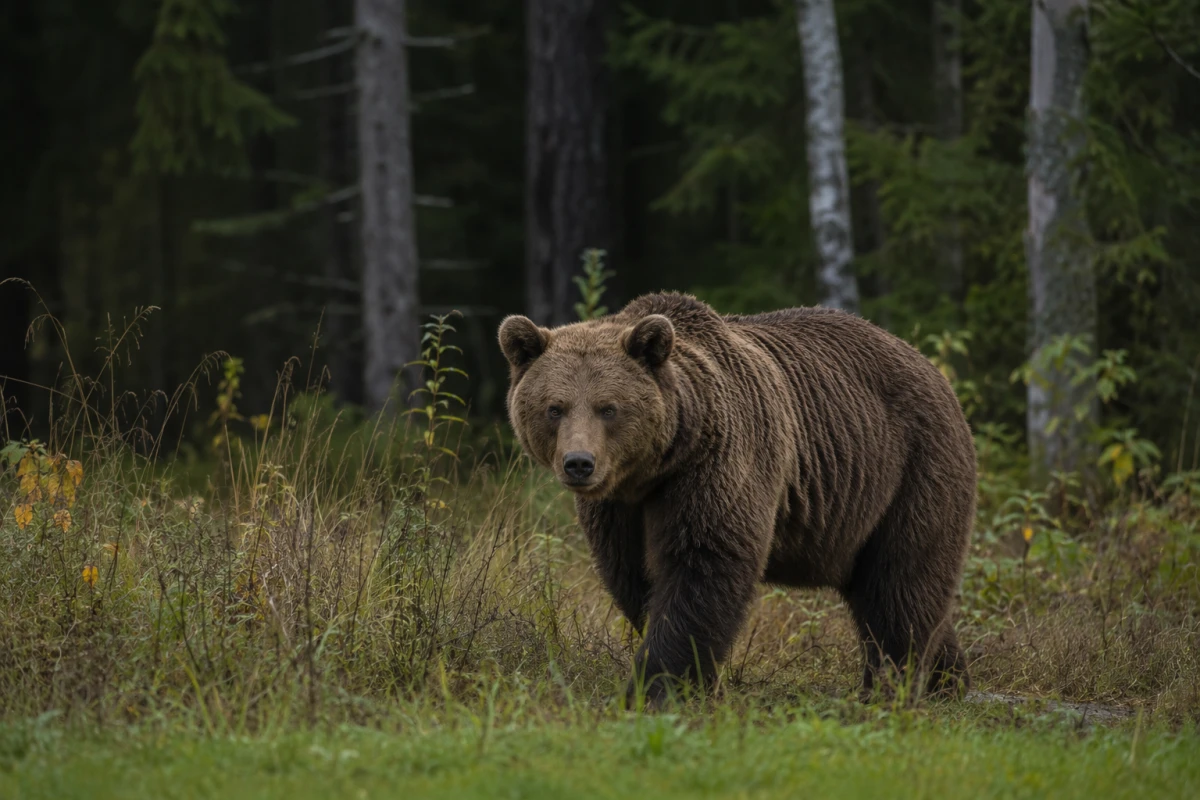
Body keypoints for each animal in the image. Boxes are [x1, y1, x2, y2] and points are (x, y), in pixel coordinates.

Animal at [498, 292, 976, 706]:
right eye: (554, 408)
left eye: (608, 408)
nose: (579, 463)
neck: (655, 469)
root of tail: (929, 366)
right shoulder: (619, 509)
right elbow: (632, 575)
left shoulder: (717, 464)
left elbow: (703, 567)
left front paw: (660, 685)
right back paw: (948, 679)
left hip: (911, 470)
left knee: (900, 582)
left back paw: (890, 685)